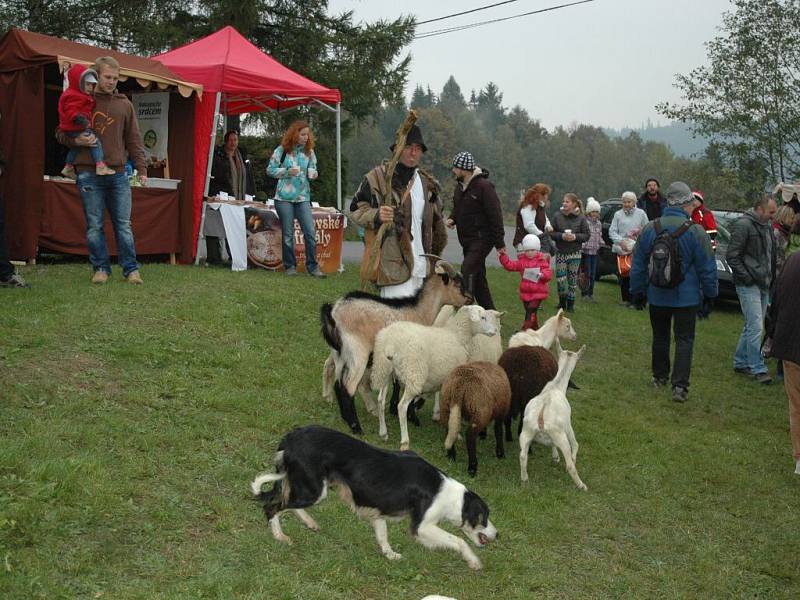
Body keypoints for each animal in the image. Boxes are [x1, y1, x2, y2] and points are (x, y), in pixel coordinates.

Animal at [318, 258, 468, 436]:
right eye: (458, 284)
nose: (471, 298)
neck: (419, 311)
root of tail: (333, 312)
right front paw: (410, 415)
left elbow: (397, 382)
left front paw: (395, 409)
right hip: (357, 353)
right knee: (348, 388)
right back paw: (356, 427)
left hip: (340, 354)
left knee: (337, 382)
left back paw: (345, 415)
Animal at [370, 304, 496, 450]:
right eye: (483, 317)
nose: (495, 331)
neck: (458, 336)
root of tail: (390, 343)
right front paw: (455, 433)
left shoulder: (441, 376)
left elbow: (438, 395)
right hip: (414, 374)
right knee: (401, 406)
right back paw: (405, 442)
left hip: (385, 371)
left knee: (380, 400)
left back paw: (383, 432)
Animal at [520, 340, 588, 490]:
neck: (556, 386)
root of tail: (540, 420)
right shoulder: (568, 425)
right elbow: (575, 443)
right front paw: (571, 458)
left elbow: (552, 445)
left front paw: (555, 456)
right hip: (560, 436)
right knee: (570, 464)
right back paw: (581, 485)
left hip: (526, 432)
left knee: (522, 456)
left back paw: (524, 479)